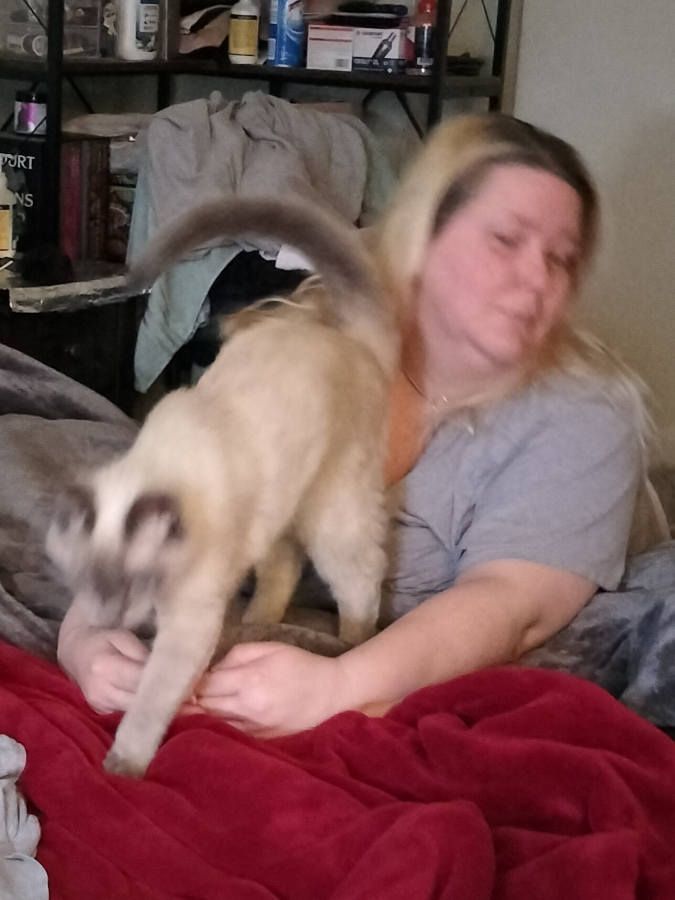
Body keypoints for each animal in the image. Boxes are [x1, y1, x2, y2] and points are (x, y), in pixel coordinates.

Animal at [47, 195, 398, 777]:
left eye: (135, 581)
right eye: (85, 581)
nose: (111, 616)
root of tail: (343, 335)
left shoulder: (189, 620)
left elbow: (152, 697)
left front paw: (124, 763)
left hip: (331, 515)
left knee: (361, 586)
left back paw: (349, 641)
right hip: (280, 512)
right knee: (284, 569)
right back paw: (257, 621)